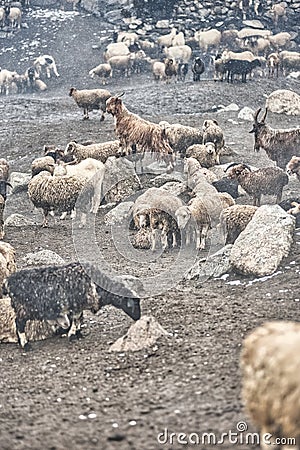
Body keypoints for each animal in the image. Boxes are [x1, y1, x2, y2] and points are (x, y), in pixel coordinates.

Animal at [3, 262, 142, 350]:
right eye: (133, 303)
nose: (139, 318)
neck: (98, 287)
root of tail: (8, 282)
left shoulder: (79, 306)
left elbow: (79, 319)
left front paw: (78, 333)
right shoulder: (76, 305)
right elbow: (76, 319)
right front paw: (73, 335)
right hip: (23, 309)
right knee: (19, 324)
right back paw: (25, 345)